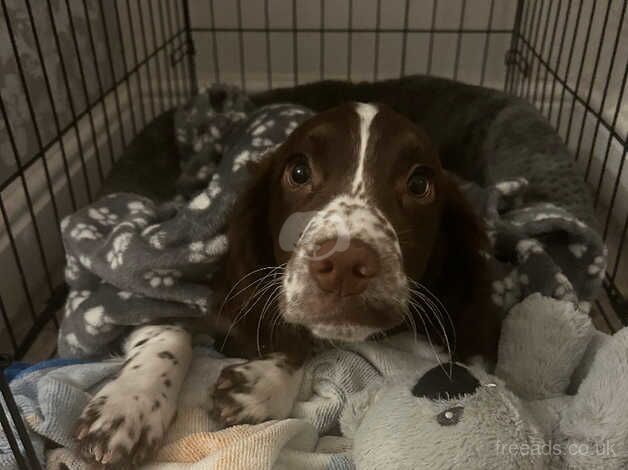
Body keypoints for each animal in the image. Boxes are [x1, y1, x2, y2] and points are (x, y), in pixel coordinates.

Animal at [73, 101, 498, 464]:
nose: (345, 263)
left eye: (419, 184)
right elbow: (168, 333)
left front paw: (262, 385)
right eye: (298, 172)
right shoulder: (172, 293)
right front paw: (128, 408)